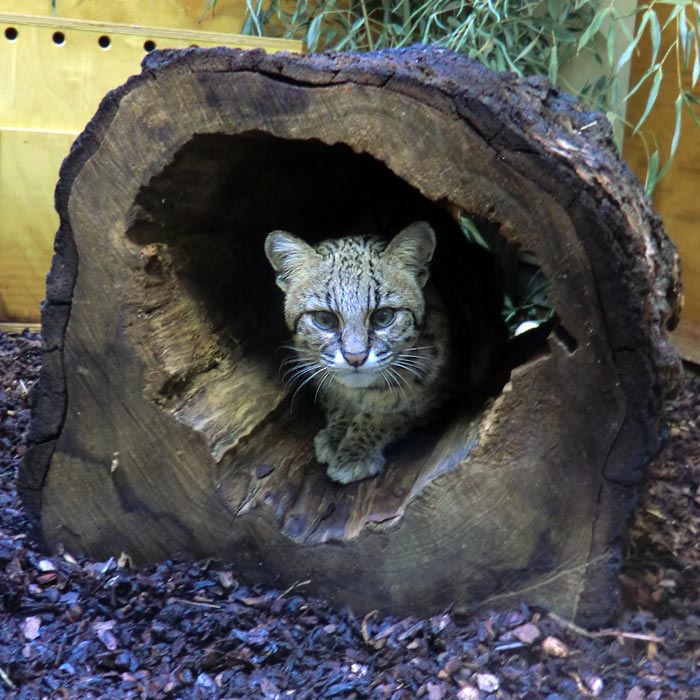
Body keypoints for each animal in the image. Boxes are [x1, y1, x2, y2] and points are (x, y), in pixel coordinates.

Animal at [266, 221, 452, 484]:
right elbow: (334, 398)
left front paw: (356, 450)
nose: (355, 358)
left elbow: (393, 412)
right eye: (325, 319)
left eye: (383, 316)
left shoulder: (438, 393)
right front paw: (337, 433)